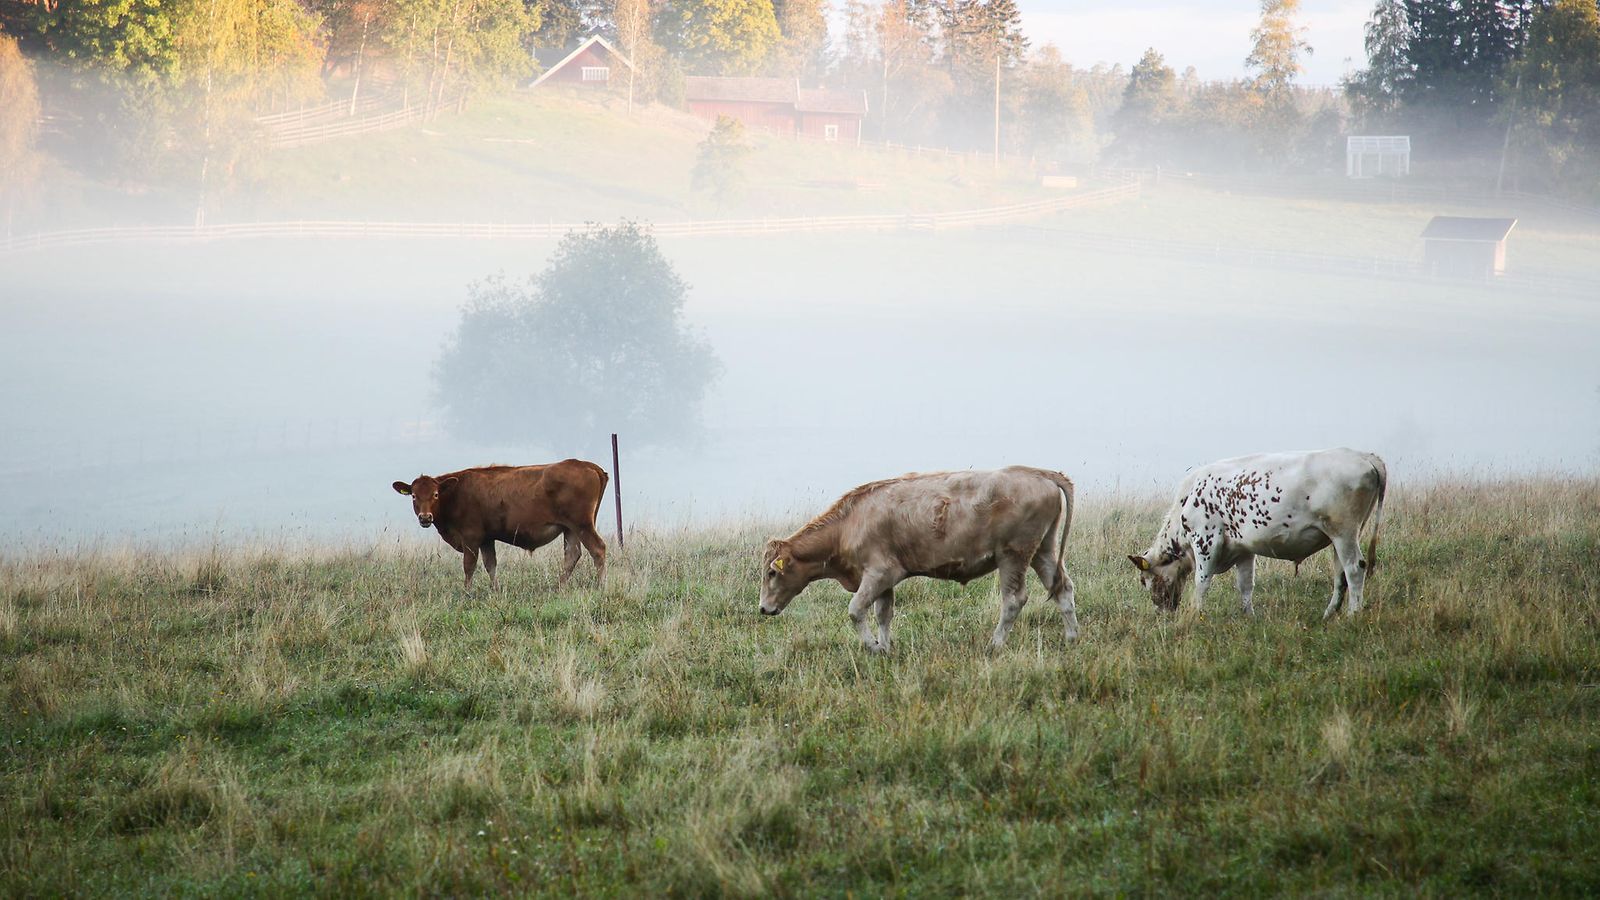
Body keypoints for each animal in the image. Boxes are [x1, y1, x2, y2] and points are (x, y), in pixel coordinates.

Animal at [390, 458, 608, 586]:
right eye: (414, 496)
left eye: (435, 494)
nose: (425, 517)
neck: (456, 492)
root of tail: (587, 465)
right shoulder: (487, 539)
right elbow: (490, 565)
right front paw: (495, 590)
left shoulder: (471, 537)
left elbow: (469, 566)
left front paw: (467, 593)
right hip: (570, 529)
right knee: (572, 555)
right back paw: (559, 587)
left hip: (582, 525)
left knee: (597, 549)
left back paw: (600, 587)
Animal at [755, 464, 1081, 646]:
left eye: (772, 572)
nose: (763, 608)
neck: (850, 523)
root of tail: (1036, 472)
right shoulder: (884, 579)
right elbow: (883, 614)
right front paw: (885, 648)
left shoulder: (879, 572)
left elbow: (855, 610)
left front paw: (872, 646)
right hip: (1043, 550)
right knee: (1063, 588)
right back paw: (1071, 638)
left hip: (1013, 555)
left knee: (1013, 600)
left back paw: (996, 644)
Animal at [1126, 445, 1388, 614]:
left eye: (1144, 580)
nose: (1161, 612)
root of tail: (1365, 456)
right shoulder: (1243, 549)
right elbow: (1245, 585)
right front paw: (1248, 616)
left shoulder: (1206, 541)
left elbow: (1202, 582)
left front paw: (1195, 614)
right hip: (1340, 536)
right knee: (1340, 573)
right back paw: (1330, 613)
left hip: (1344, 532)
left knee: (1354, 569)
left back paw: (1353, 614)